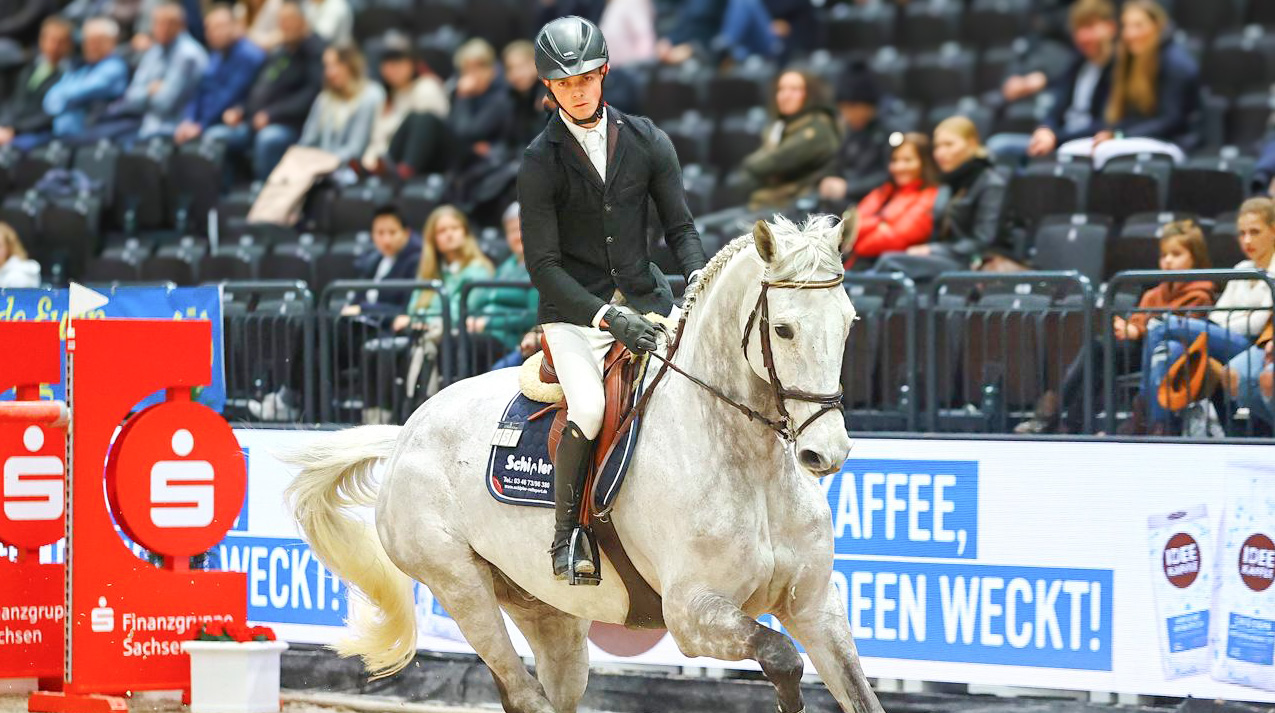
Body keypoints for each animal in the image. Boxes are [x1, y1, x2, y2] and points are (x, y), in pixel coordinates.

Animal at [284, 214, 883, 713]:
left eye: (850, 322)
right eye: (783, 329)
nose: (825, 452)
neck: (753, 469)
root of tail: (407, 432)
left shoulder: (817, 609)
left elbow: (857, 692)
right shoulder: (692, 614)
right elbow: (781, 656)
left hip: (546, 611)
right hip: (460, 587)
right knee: (522, 694)